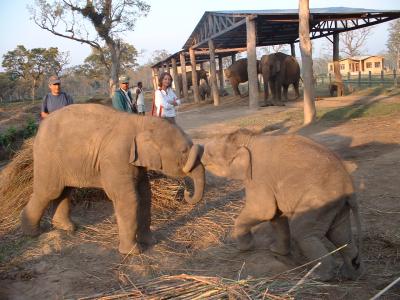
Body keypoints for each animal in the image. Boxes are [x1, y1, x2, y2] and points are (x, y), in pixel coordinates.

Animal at [20, 104, 205, 254]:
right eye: (183, 151)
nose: (186, 192)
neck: (141, 122)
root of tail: (40, 127)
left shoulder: (135, 163)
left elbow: (145, 195)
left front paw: (152, 241)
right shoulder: (116, 157)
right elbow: (128, 198)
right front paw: (133, 252)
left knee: (64, 190)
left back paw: (67, 228)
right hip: (47, 157)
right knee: (48, 191)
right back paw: (32, 233)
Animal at [202, 129, 364, 282]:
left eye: (210, 154)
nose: (202, 160)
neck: (250, 139)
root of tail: (349, 185)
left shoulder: (258, 176)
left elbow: (263, 210)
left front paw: (244, 248)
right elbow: (275, 215)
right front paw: (276, 251)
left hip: (320, 201)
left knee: (303, 233)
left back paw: (318, 277)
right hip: (336, 206)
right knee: (341, 235)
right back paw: (351, 274)